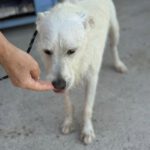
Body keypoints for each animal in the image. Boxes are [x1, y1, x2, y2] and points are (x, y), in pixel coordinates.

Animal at [35, 0, 127, 144]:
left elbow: (87, 108)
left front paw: (87, 130)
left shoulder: (91, 79)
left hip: (114, 30)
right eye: (47, 51)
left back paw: (118, 64)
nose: (58, 85)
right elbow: (68, 104)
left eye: (72, 51)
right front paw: (68, 122)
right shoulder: (64, 81)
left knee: (113, 46)